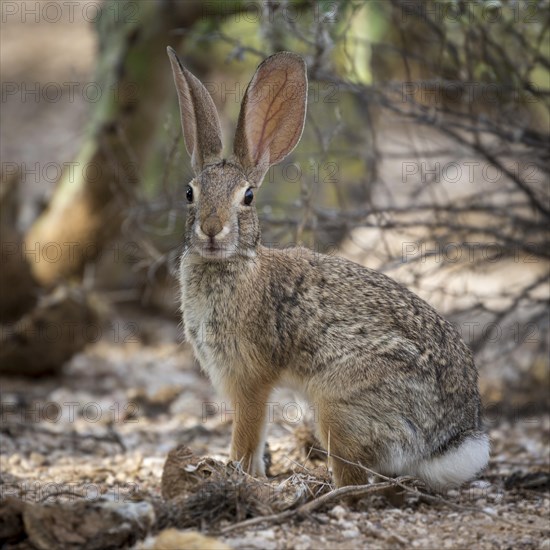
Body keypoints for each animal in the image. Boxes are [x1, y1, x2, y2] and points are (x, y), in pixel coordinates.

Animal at [166, 47, 490, 492]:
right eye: (188, 193)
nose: (211, 230)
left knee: (356, 478)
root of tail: (445, 444)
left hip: (338, 405)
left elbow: (247, 432)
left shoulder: (250, 379)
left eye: (247, 197)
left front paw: (238, 472)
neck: (231, 263)